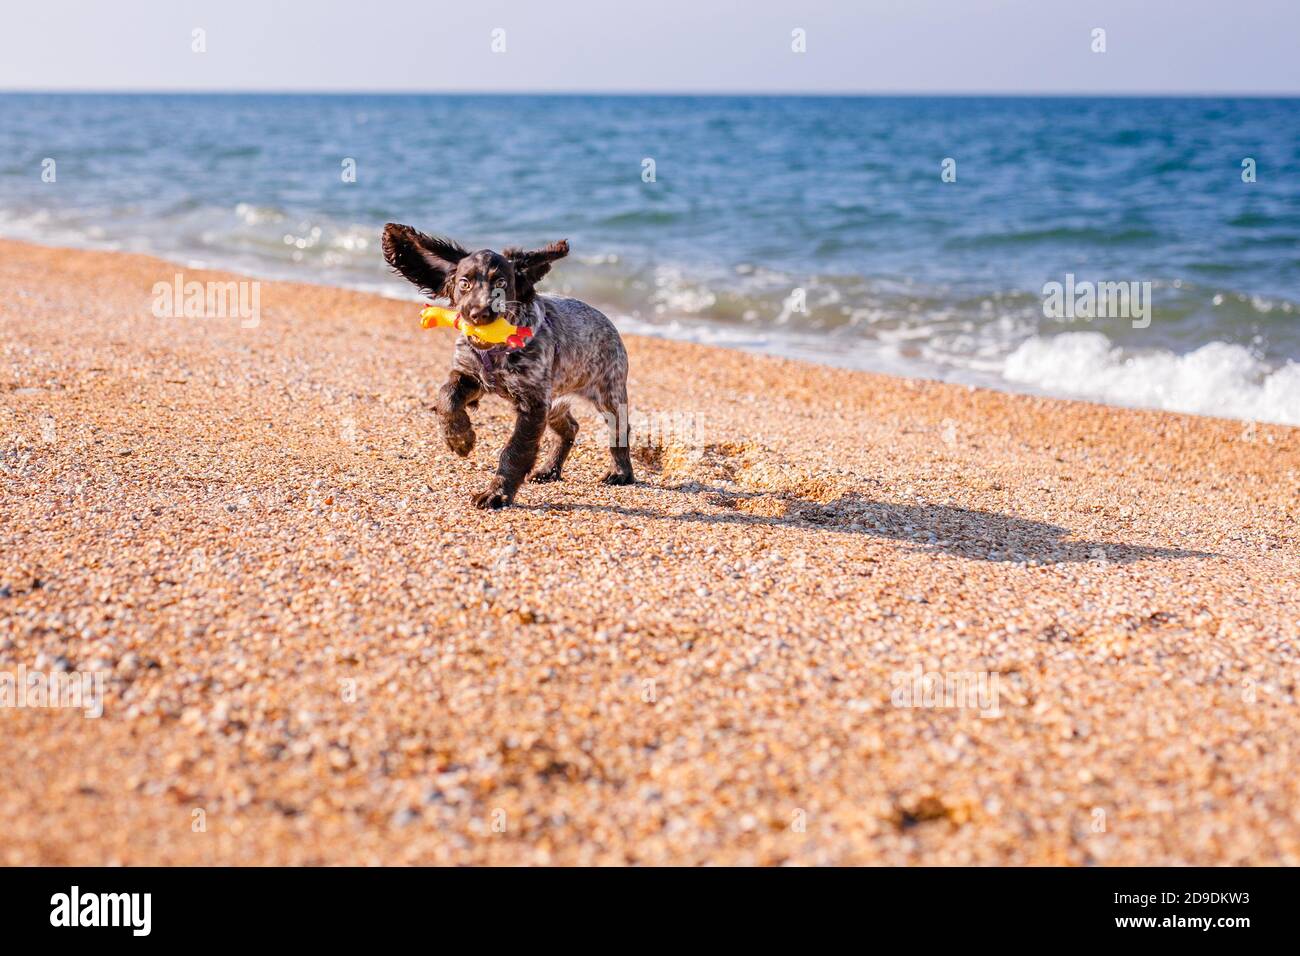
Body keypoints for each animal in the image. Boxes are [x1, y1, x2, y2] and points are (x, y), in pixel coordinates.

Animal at [379, 223, 634, 509]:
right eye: (464, 283)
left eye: (501, 283)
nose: (479, 314)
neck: (495, 349)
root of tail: (607, 321)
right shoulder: (470, 376)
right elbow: (446, 397)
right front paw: (460, 438)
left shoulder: (533, 403)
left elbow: (516, 450)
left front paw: (497, 493)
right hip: (556, 402)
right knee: (570, 427)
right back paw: (550, 470)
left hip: (608, 392)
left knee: (619, 429)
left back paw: (621, 473)